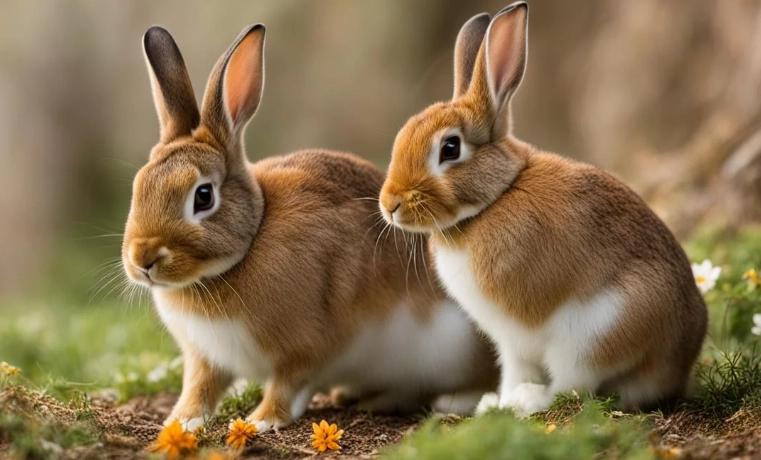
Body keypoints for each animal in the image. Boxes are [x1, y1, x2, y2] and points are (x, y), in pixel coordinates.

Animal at [121, 24, 499, 432]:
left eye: (203, 196)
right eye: (138, 186)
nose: (142, 259)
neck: (246, 246)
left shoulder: (308, 347)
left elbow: (288, 386)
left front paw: (261, 421)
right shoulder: (205, 359)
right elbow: (200, 388)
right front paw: (181, 421)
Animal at [378, 2, 707, 417]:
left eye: (450, 149)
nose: (390, 204)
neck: (495, 198)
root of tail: (675, 365)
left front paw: (506, 404)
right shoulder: (510, 342)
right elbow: (513, 369)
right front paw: (494, 403)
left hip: (593, 333)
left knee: (573, 388)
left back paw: (530, 401)